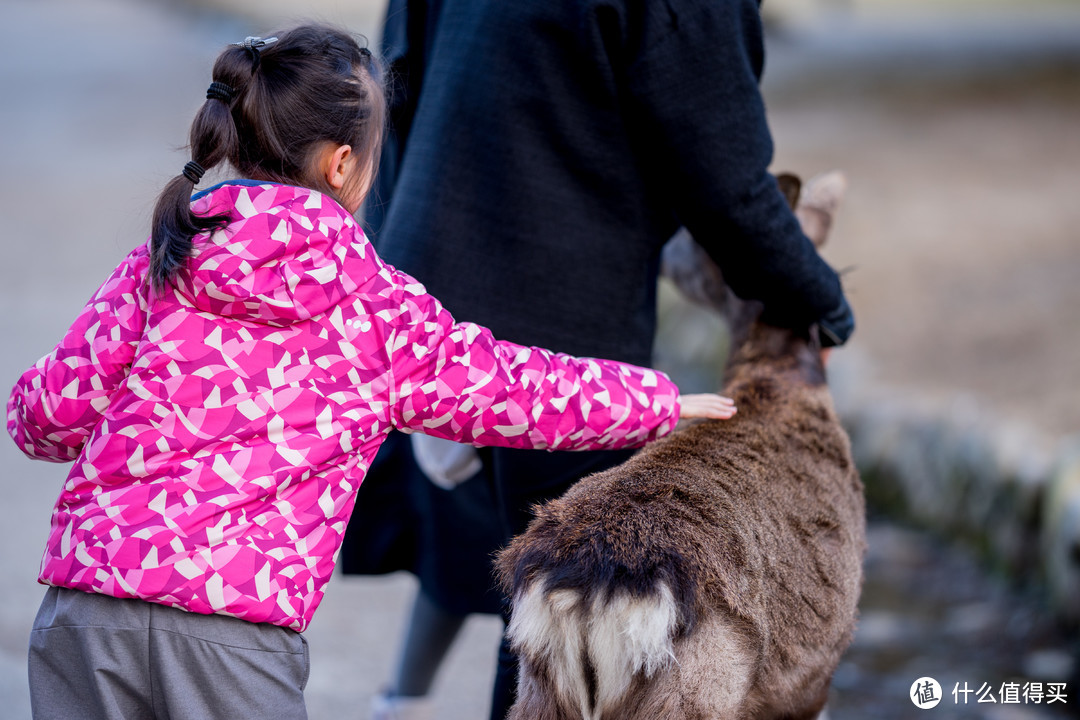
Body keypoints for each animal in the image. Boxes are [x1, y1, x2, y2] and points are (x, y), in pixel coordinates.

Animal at [494, 171, 864, 716]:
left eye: (695, 238)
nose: (665, 252)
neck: (776, 378)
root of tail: (586, 591)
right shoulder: (814, 673)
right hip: (698, 688)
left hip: (537, 691)